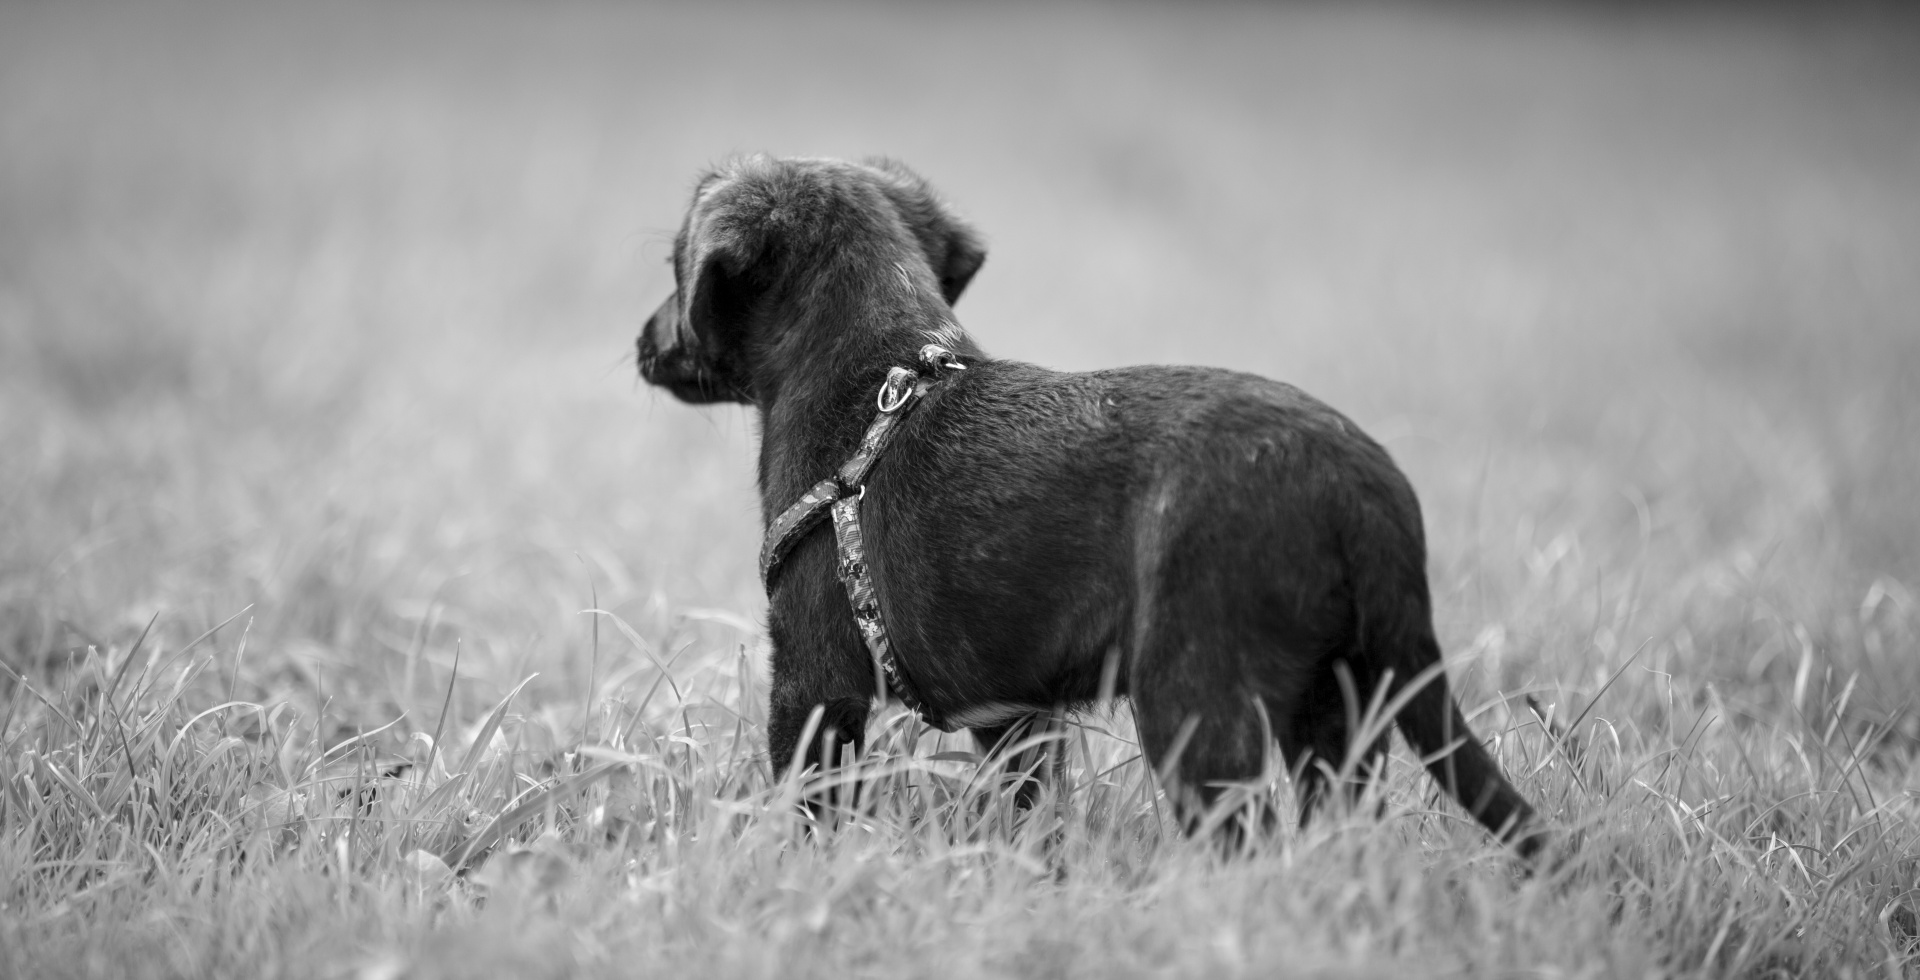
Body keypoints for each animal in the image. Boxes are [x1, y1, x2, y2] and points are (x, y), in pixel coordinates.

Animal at [641, 154, 1543, 857]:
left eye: (674, 269)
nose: (644, 343)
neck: (874, 368)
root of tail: (1362, 493)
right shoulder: (1018, 720)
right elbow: (1033, 819)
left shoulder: (815, 682)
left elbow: (808, 810)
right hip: (1339, 703)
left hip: (1192, 698)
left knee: (1244, 841)